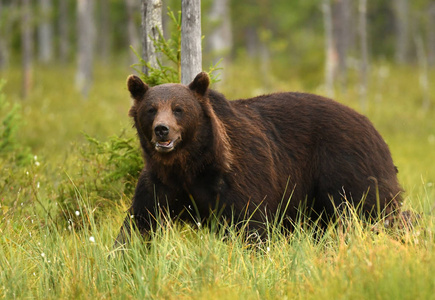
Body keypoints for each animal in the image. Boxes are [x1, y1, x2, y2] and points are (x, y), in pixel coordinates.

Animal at [115, 73, 402, 246]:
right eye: (151, 109)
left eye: (179, 109)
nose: (162, 130)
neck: (192, 164)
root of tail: (371, 125)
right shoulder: (160, 182)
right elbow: (140, 222)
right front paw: (125, 254)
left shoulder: (239, 176)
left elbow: (249, 225)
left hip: (346, 165)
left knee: (376, 207)